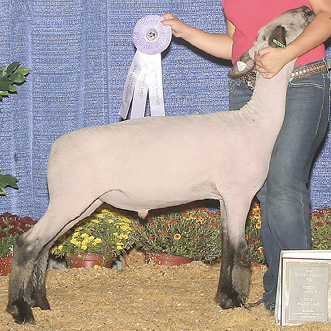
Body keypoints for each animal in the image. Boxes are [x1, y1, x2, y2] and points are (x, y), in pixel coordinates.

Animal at [6, 6, 316, 326]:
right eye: (284, 24)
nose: (308, 9)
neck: (254, 122)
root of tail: (55, 149)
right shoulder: (239, 194)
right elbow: (240, 252)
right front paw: (236, 303)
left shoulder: (225, 197)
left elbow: (227, 249)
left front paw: (223, 298)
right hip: (70, 198)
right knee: (28, 243)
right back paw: (22, 310)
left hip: (82, 202)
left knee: (45, 246)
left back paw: (40, 301)